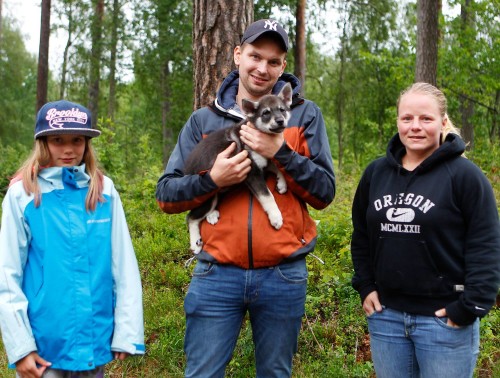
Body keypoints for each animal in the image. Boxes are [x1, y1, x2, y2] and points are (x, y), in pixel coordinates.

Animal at [184, 82, 292, 254]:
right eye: (266, 113)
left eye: (282, 109)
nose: (280, 121)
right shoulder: (252, 172)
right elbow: (268, 196)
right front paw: (276, 216)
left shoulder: (262, 161)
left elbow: (276, 165)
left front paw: (282, 183)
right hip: (208, 197)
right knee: (190, 217)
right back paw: (195, 243)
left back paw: (212, 215)